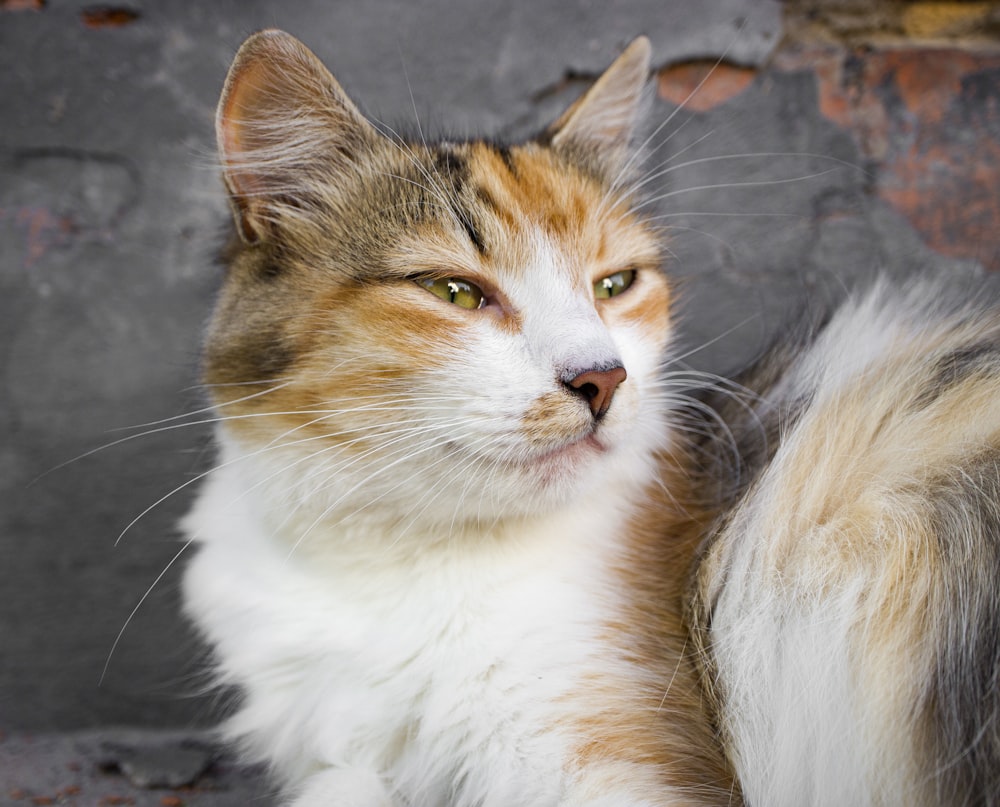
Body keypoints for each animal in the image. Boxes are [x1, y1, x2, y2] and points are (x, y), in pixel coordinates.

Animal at [184, 26, 1000, 807]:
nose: (603, 377)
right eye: (454, 292)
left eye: (615, 284)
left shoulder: (634, 758)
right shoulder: (344, 756)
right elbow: (342, 782)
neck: (390, 560)